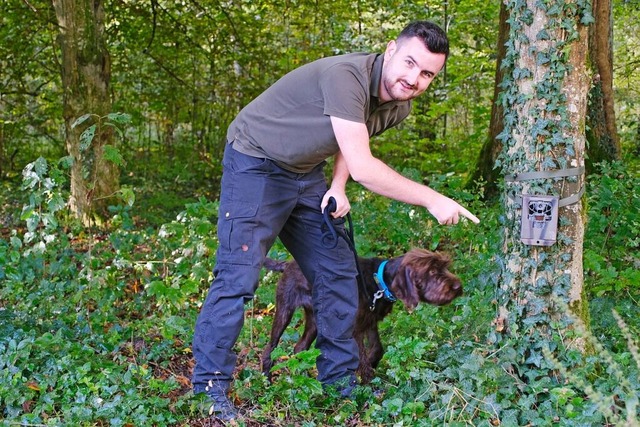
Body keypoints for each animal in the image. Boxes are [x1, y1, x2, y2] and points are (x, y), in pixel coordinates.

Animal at [262, 249, 462, 382]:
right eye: (432, 271)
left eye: (444, 267)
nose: (458, 286)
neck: (379, 281)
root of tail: (288, 263)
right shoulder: (354, 328)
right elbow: (361, 357)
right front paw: (368, 384)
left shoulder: (370, 322)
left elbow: (378, 348)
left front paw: (373, 363)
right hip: (285, 310)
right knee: (270, 347)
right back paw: (266, 378)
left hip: (315, 320)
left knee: (300, 347)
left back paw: (304, 379)